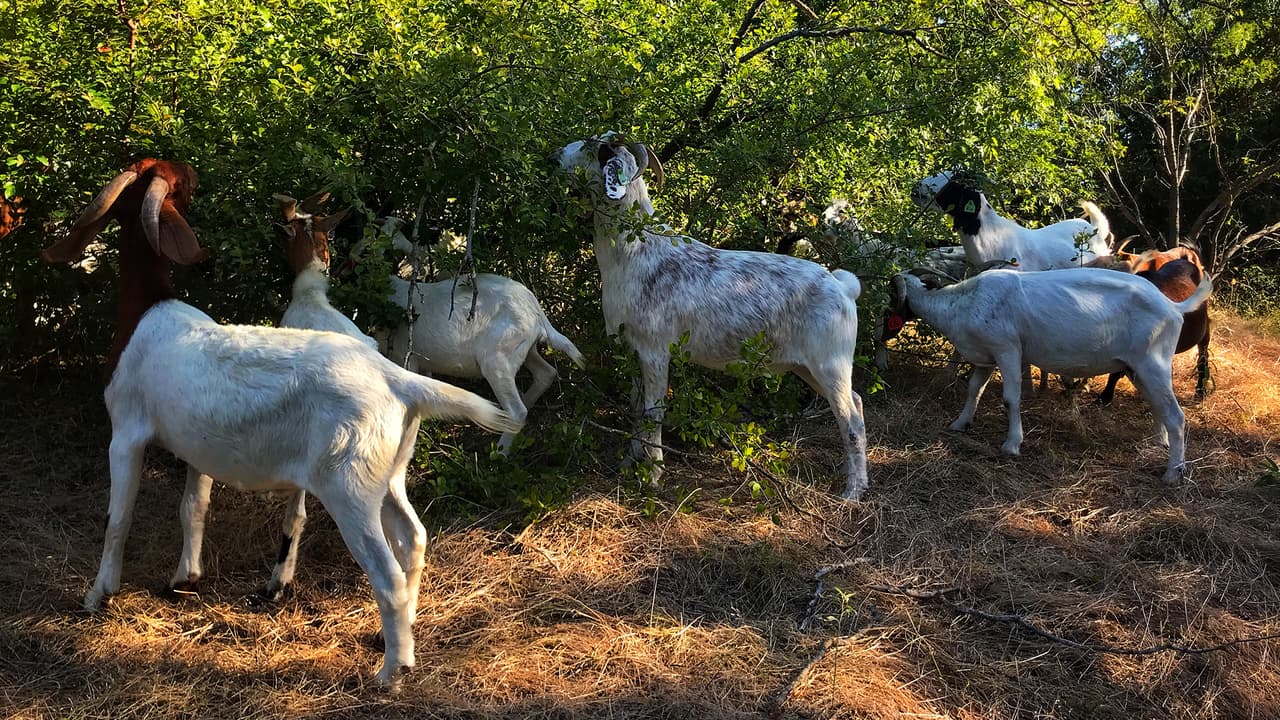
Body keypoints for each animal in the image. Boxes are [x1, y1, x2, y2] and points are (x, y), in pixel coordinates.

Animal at [42, 159, 521, 690]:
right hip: (388, 474)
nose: (196, 175)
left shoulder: (126, 430)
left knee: (387, 572)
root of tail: (399, 380)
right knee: (413, 540)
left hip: (349, 485)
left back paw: (392, 670)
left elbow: (118, 518)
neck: (146, 311)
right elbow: (193, 507)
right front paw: (185, 577)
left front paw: (97, 595)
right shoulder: (196, 447)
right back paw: (394, 637)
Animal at [350, 222, 585, 454]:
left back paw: (500, 452)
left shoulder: (404, 358)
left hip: (497, 360)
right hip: (524, 350)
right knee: (546, 373)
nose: (355, 252)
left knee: (518, 410)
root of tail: (536, 311)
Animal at [550, 135, 870, 500]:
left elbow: (653, 413)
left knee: (851, 421)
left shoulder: (655, 351)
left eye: (592, 146)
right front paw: (629, 465)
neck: (636, 253)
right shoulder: (629, 350)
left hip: (831, 364)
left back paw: (853, 491)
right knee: (857, 402)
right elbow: (635, 410)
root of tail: (843, 287)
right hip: (809, 368)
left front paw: (654, 477)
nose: (552, 158)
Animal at [889, 266, 1212, 486]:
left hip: (1152, 362)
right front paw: (960, 423)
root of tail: (1172, 306)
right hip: (1139, 367)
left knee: (1176, 415)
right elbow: (974, 389)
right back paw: (1160, 443)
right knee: (1160, 407)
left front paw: (1012, 445)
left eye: (893, 294)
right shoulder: (986, 356)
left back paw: (1172, 473)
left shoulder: (1008, 349)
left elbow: (1010, 398)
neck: (964, 301)